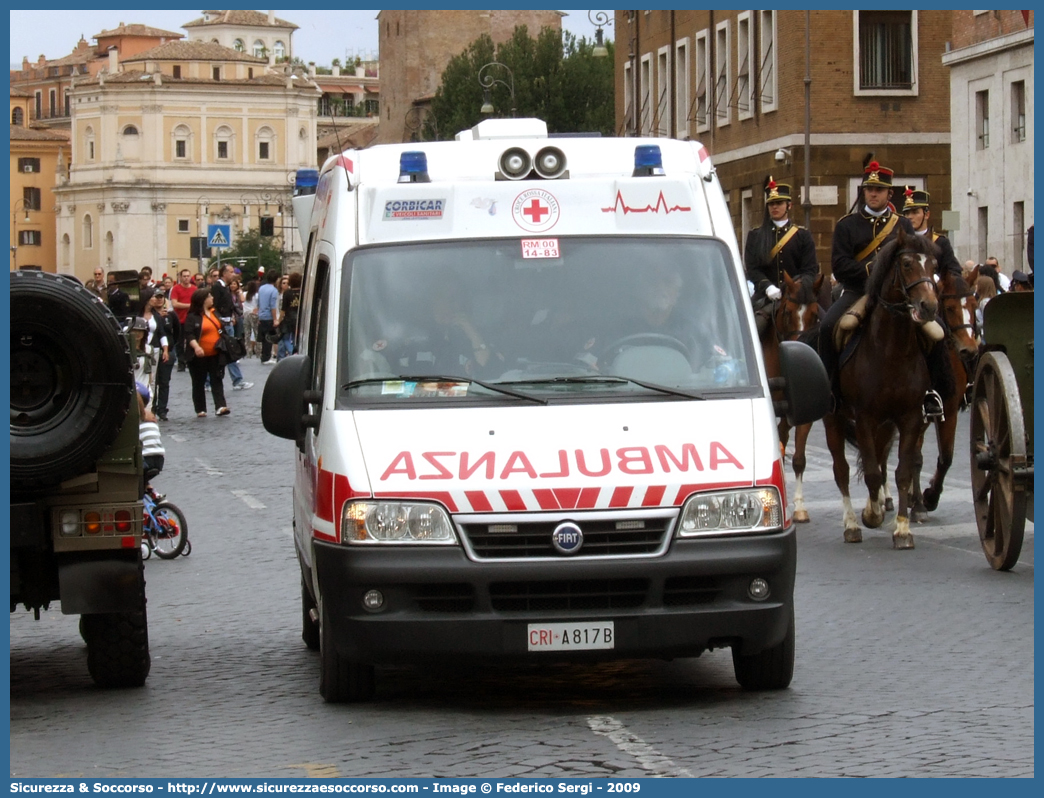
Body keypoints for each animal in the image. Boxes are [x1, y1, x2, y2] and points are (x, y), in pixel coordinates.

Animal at [826, 227, 943, 547]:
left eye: (934, 265)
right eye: (907, 264)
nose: (929, 306)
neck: (892, 349)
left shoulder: (910, 417)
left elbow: (900, 471)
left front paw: (902, 528)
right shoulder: (865, 417)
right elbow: (870, 473)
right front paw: (872, 516)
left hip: (886, 424)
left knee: (878, 459)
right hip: (834, 418)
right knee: (842, 470)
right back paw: (852, 524)